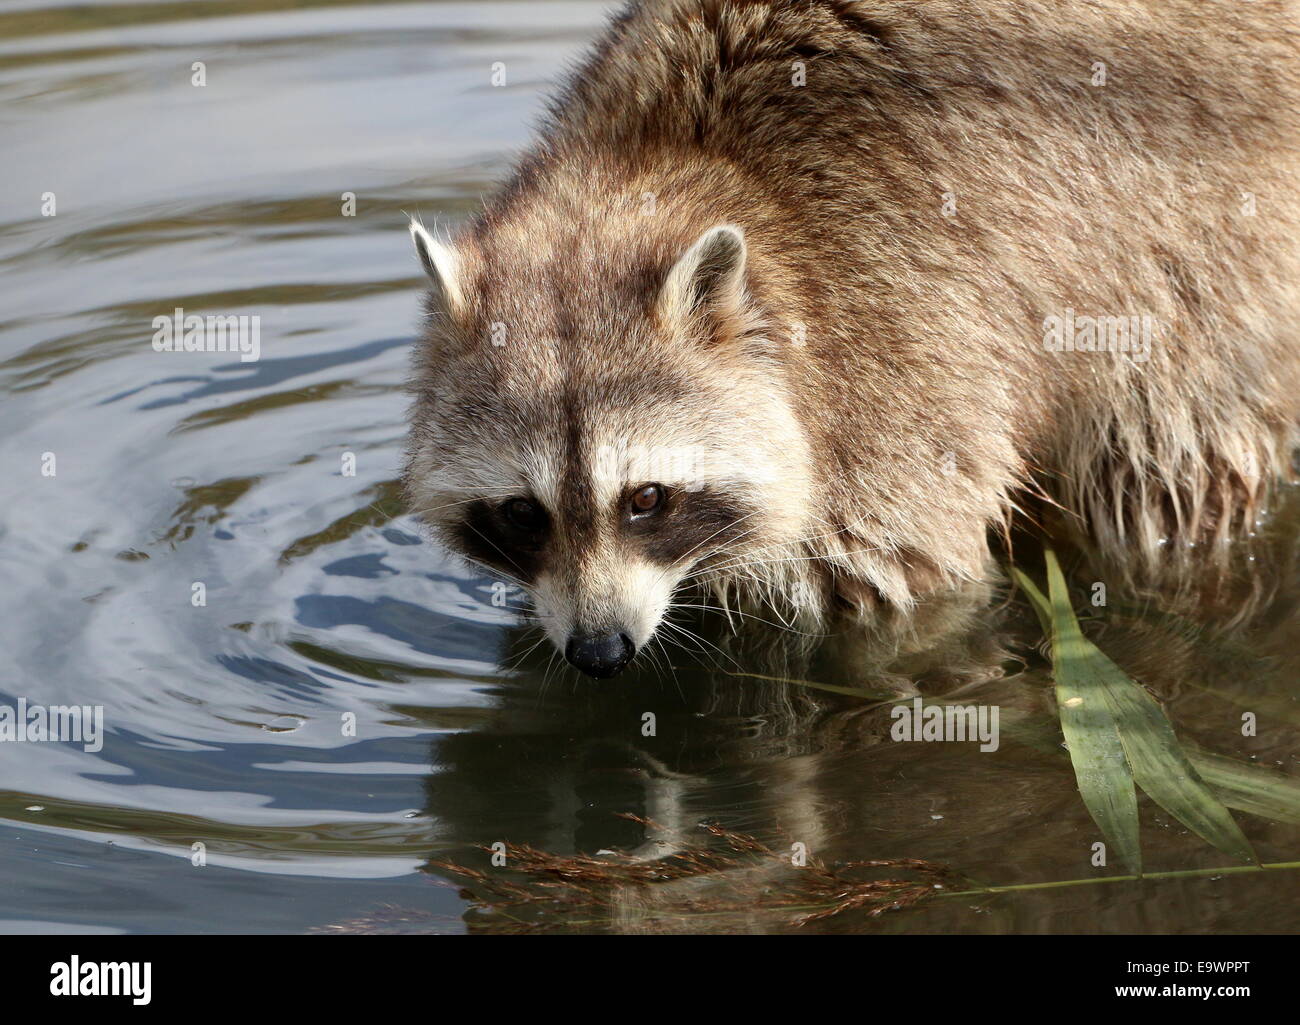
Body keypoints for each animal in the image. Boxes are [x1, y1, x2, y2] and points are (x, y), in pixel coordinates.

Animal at [400, 2, 1294, 681]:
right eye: (522, 511)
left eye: (646, 498)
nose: (599, 652)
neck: (669, 166)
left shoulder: (903, 352)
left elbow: (901, 592)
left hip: (1207, 264)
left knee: (1165, 465)